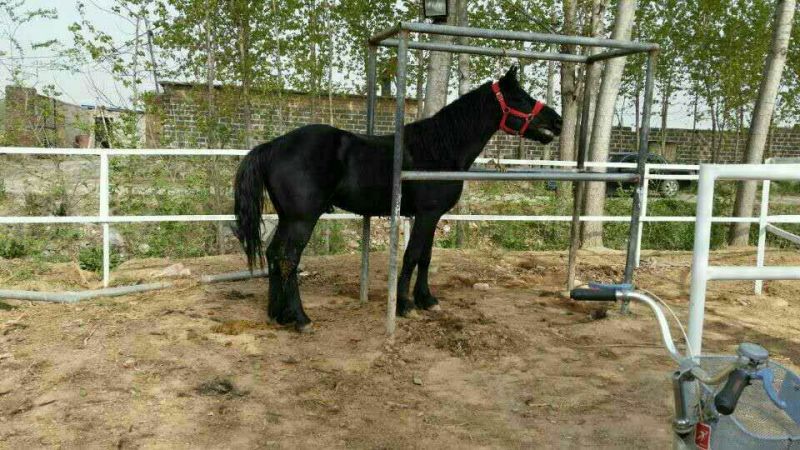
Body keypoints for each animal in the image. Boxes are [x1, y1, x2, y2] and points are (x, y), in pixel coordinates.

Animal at [234, 66, 563, 332]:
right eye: (520, 97)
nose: (557, 122)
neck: (440, 148)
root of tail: (273, 146)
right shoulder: (428, 213)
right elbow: (412, 255)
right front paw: (405, 305)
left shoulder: (429, 216)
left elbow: (426, 256)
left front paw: (427, 299)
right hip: (302, 219)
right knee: (288, 259)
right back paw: (301, 319)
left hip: (287, 218)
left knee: (273, 255)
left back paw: (278, 315)